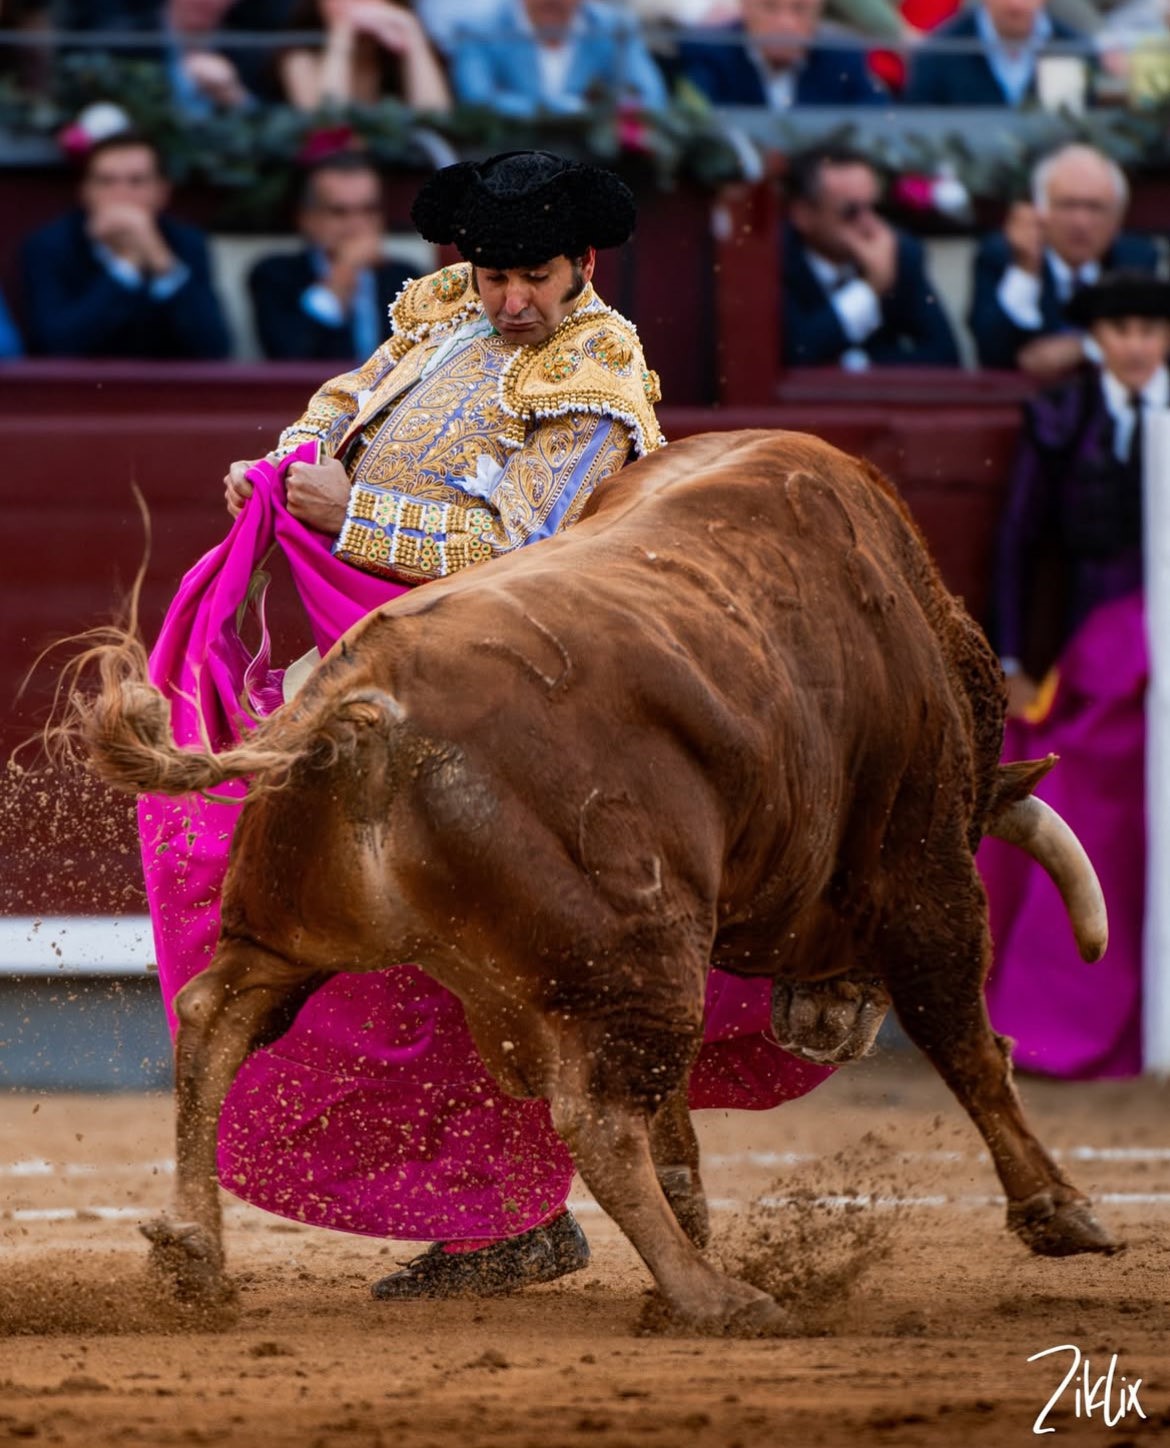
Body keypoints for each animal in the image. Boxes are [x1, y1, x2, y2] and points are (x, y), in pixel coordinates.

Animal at [68, 429, 1117, 1335]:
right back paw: (712, 1297)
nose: (827, 1027)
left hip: (300, 934)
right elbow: (967, 1039)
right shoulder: (925, 871)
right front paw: (1059, 1211)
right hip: (641, 953)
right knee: (599, 1118)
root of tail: (362, 701)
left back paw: (194, 1253)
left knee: (214, 1018)